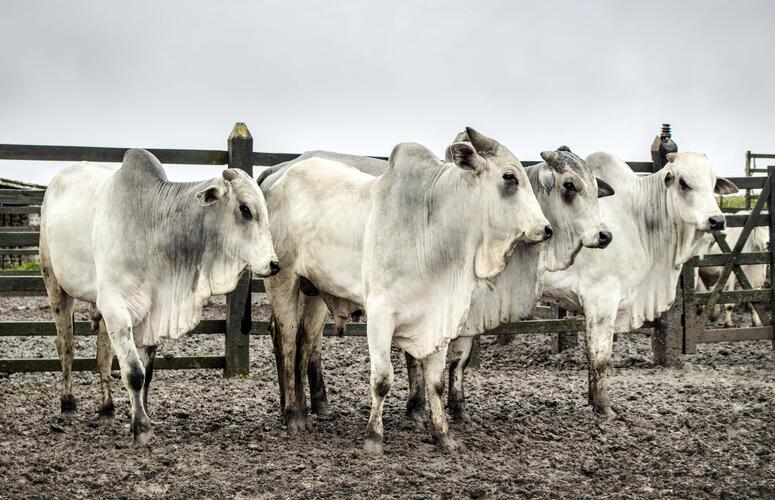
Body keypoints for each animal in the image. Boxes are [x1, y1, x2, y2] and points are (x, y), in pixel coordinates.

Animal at [41, 147, 278, 442]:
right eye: (245, 209)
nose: (274, 264)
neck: (151, 226)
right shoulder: (116, 307)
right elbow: (134, 372)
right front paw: (141, 427)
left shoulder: (150, 312)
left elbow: (147, 372)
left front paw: (142, 413)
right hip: (55, 283)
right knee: (66, 345)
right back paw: (67, 404)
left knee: (102, 355)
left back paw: (107, 408)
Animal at [544, 150, 736, 416]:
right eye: (683, 182)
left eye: (713, 182)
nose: (717, 220)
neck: (638, 219)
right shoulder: (602, 298)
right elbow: (600, 356)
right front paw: (604, 408)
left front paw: (593, 402)